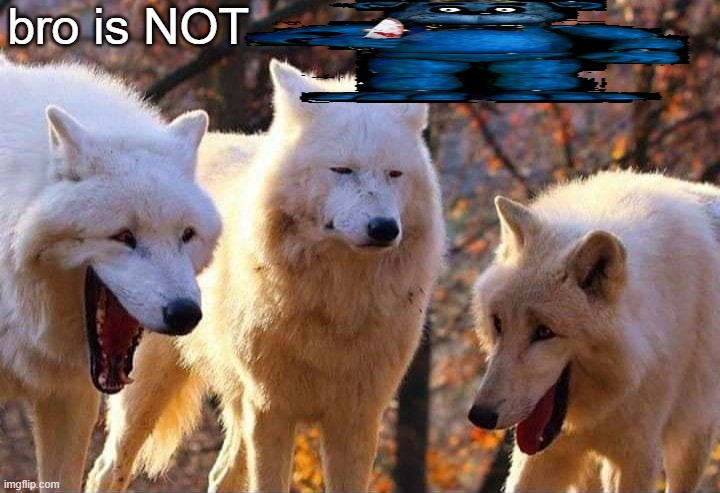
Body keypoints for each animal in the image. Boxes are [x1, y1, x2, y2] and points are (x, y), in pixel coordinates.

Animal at [86, 60, 446, 492]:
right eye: (342, 170)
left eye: (395, 174)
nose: (384, 229)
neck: (336, 302)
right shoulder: (271, 409)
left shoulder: (357, 417)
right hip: (148, 388)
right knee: (107, 469)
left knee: (221, 475)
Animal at [468, 170, 720, 492]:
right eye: (499, 323)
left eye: (544, 332)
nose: (480, 415)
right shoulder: (545, 453)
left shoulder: (637, 456)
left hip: (691, 442)